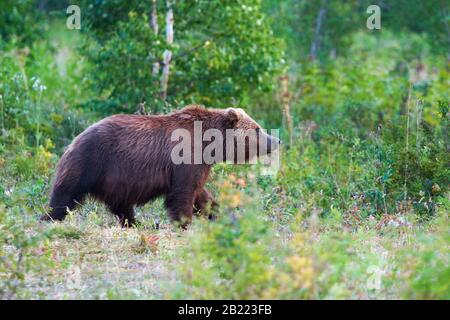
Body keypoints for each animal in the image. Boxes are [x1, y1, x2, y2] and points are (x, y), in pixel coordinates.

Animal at [43, 105, 282, 228]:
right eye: (258, 129)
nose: (277, 140)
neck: (210, 143)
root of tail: (74, 139)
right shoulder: (185, 157)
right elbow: (182, 193)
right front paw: (185, 223)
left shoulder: (199, 165)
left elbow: (201, 194)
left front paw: (222, 214)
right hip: (91, 162)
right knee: (65, 195)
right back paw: (49, 218)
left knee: (121, 204)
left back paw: (135, 223)